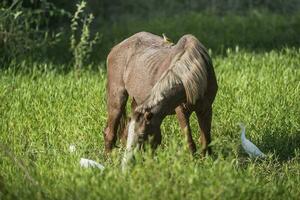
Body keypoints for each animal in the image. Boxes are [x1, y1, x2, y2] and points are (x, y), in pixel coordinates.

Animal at [104, 32, 217, 161]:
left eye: (142, 136)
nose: (131, 159)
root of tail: (116, 47)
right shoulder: (181, 111)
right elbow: (188, 139)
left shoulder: (206, 108)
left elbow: (206, 139)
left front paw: (207, 159)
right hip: (117, 100)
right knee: (110, 133)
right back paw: (108, 159)